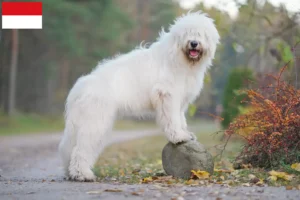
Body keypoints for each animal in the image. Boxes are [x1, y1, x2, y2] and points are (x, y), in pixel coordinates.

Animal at [57, 11, 219, 182]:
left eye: (200, 34)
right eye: (187, 33)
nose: (194, 43)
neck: (179, 59)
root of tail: (80, 86)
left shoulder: (180, 101)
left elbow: (180, 119)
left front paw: (186, 133)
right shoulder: (167, 95)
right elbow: (172, 119)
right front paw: (178, 137)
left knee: (70, 147)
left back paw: (71, 172)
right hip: (95, 121)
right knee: (81, 149)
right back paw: (83, 174)